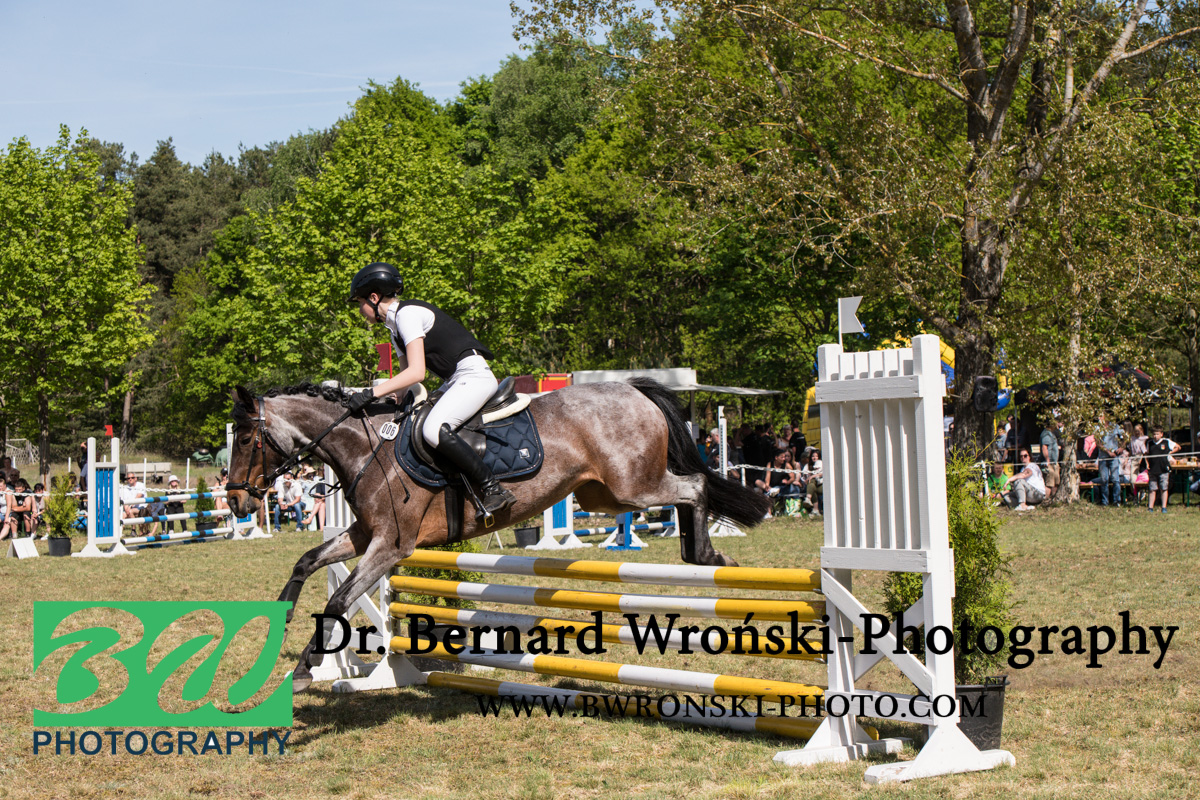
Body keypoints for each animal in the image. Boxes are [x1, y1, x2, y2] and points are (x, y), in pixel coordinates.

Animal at [225, 379, 770, 692]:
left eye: (248, 439)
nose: (235, 503)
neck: (364, 448)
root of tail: (634, 390)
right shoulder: (364, 535)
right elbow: (307, 561)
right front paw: (282, 627)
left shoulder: (391, 546)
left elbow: (339, 599)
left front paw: (303, 670)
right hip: (603, 496)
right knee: (682, 490)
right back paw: (706, 554)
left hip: (632, 487)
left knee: (694, 486)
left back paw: (706, 554)